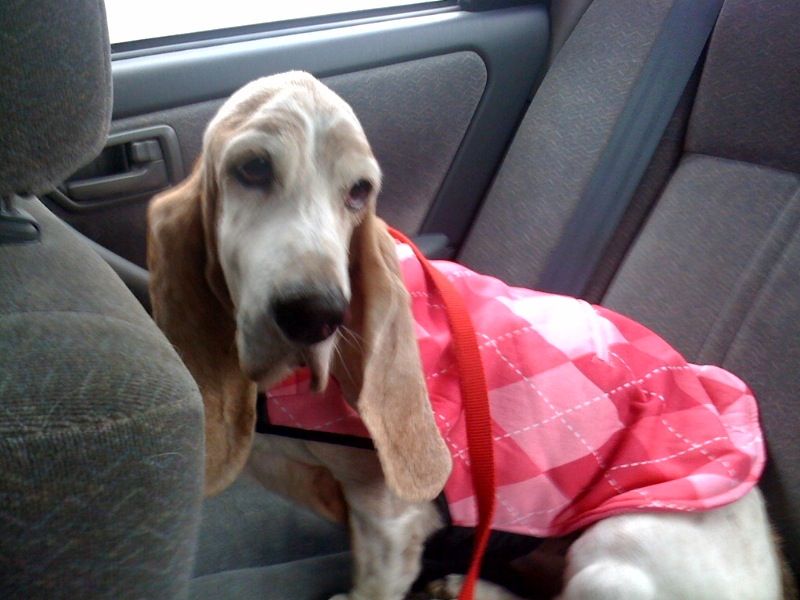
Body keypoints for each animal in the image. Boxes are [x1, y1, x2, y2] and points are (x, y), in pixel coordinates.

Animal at [147, 72, 792, 599]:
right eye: (252, 167)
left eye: (359, 191)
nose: (317, 315)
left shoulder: (390, 520)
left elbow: (375, 584)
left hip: (616, 553)